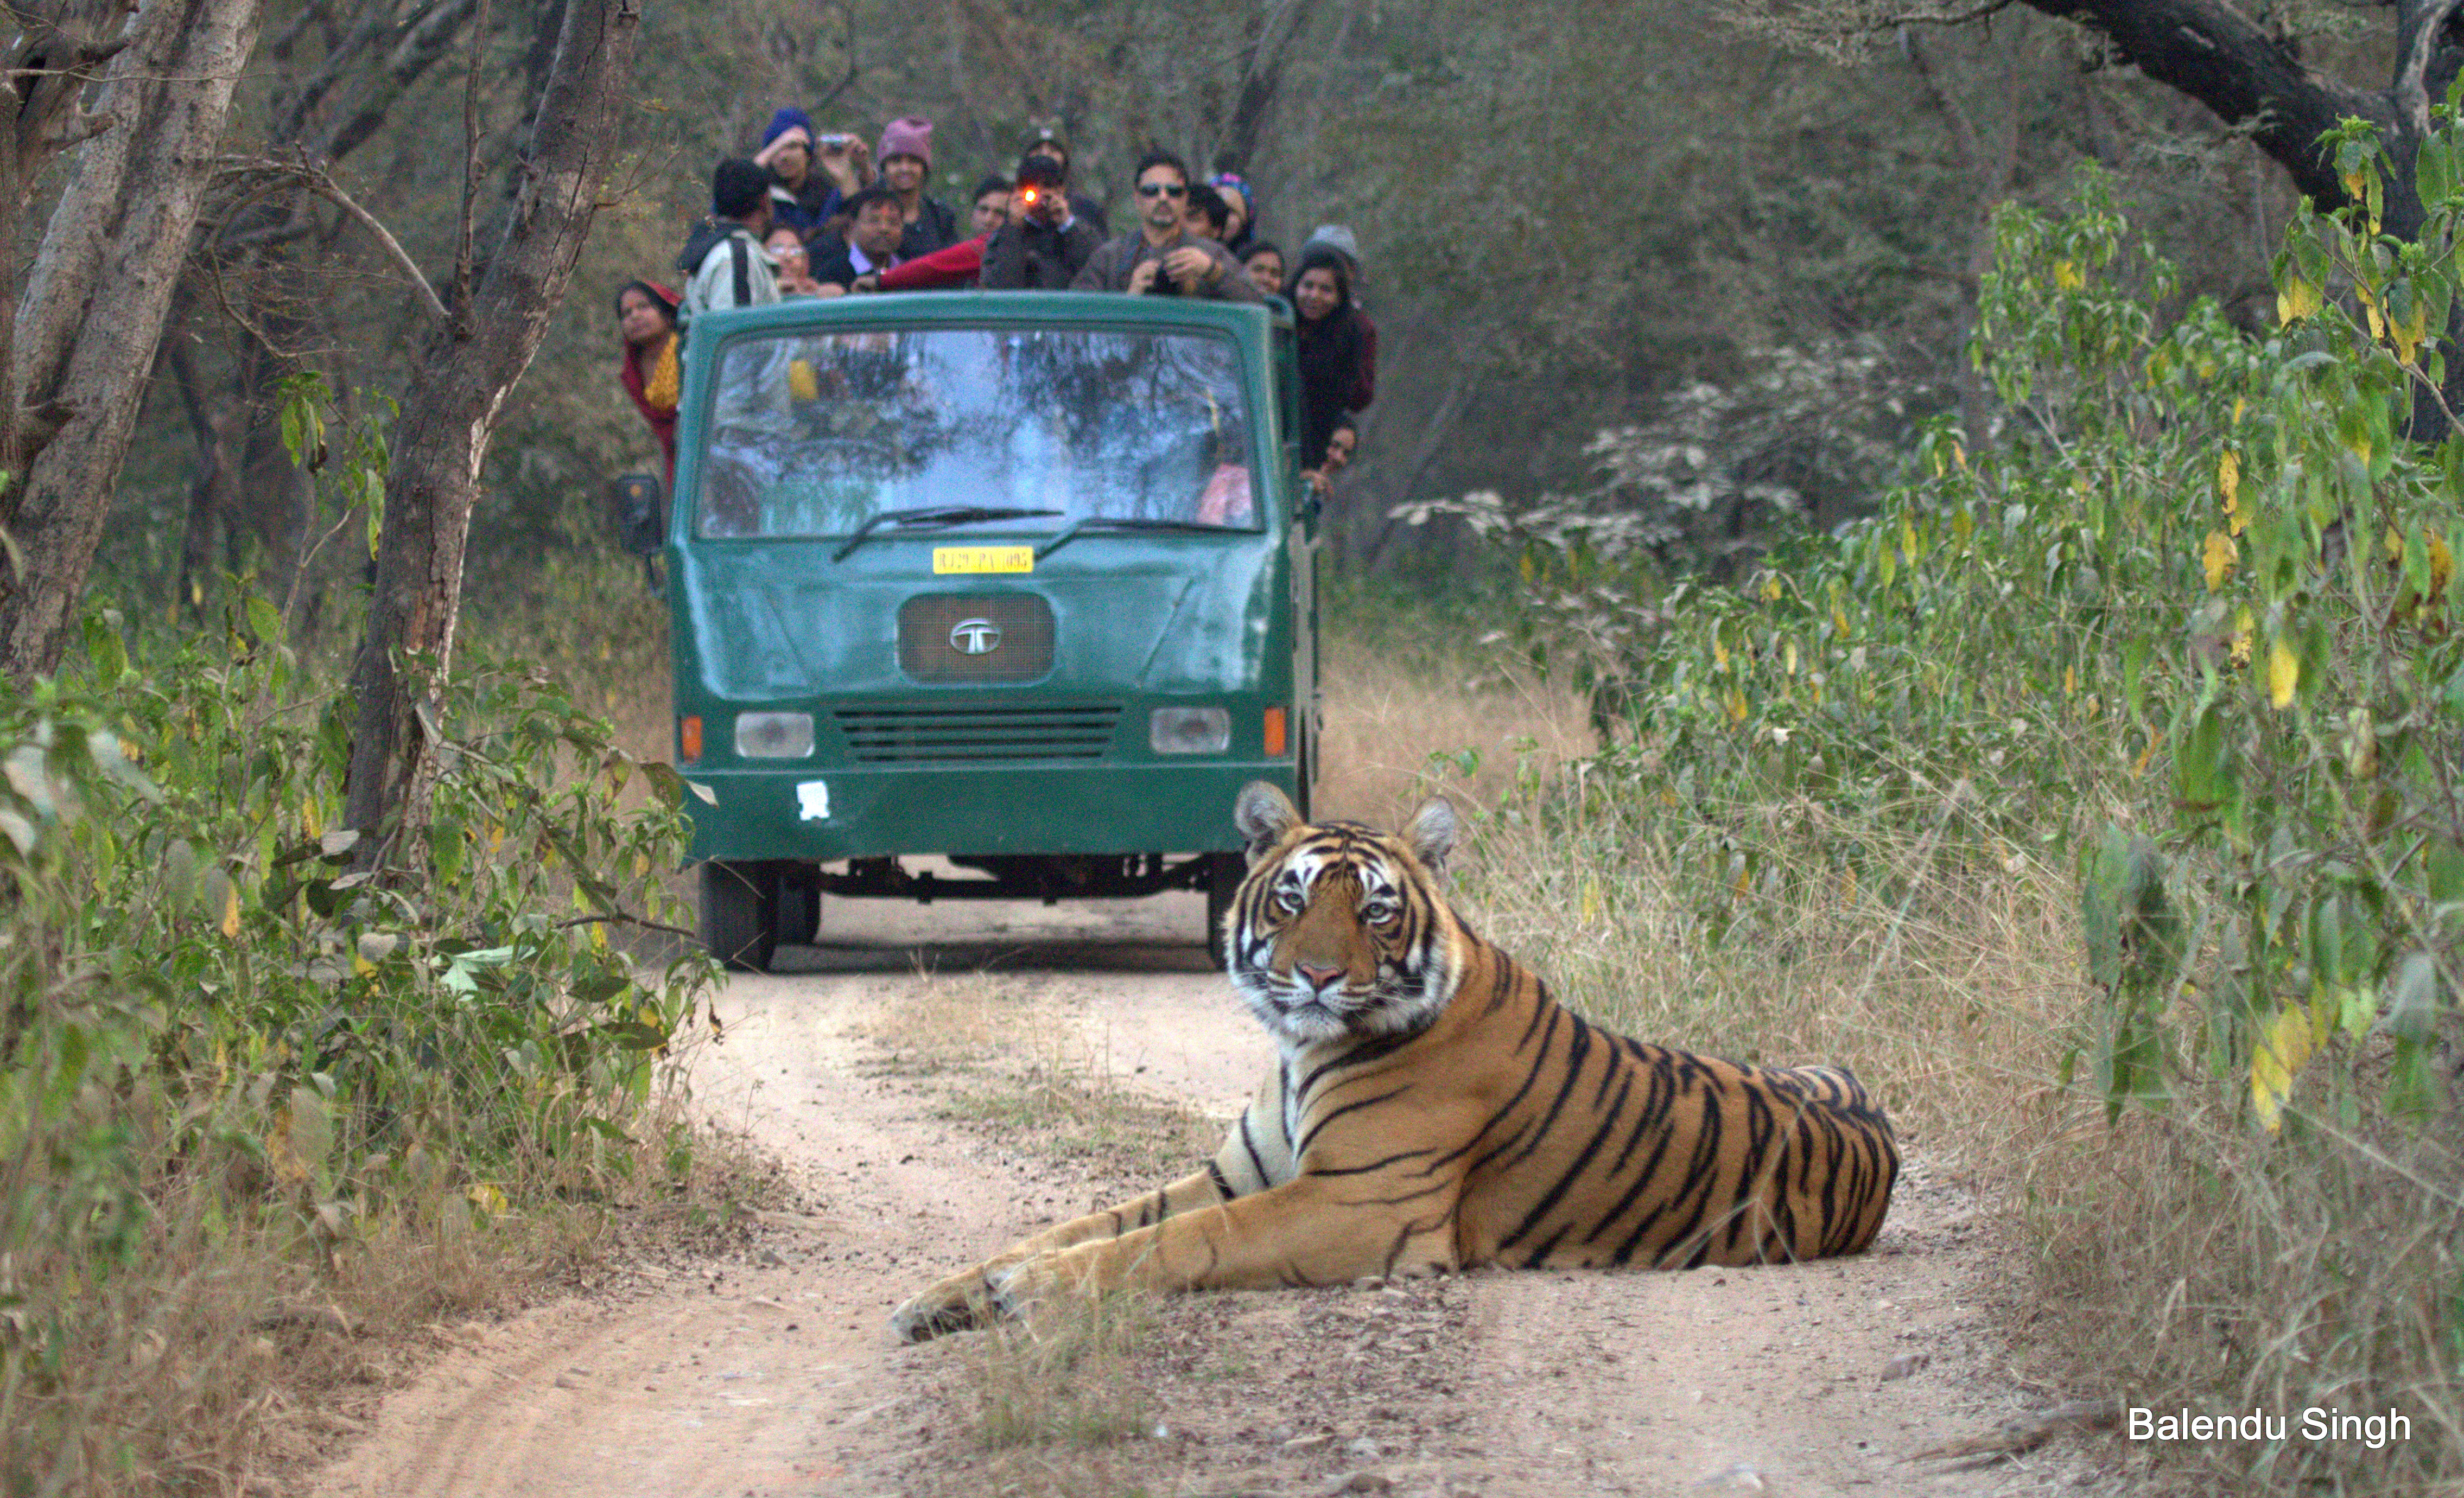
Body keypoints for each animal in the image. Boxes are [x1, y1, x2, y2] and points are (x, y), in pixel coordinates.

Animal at [892, 778, 1902, 1340]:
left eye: (1376, 909)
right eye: (1292, 898)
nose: (1317, 975)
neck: (1300, 1051)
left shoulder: (1356, 1202)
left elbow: (1174, 1242)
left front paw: (1025, 1291)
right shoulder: (1237, 1173)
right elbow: (1084, 1224)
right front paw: (947, 1294)